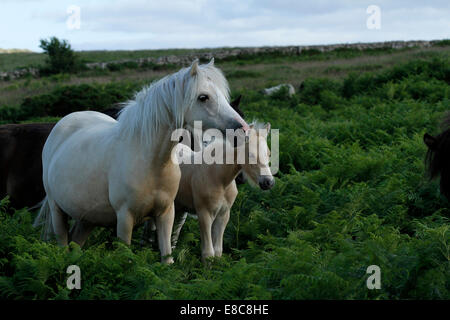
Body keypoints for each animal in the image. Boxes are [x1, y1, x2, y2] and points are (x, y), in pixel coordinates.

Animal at [33, 59, 248, 262]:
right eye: (203, 97)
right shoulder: (124, 219)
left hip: (87, 218)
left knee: (76, 243)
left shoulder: (166, 214)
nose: (242, 128)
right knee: (62, 241)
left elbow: (167, 257)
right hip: (57, 210)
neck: (152, 162)